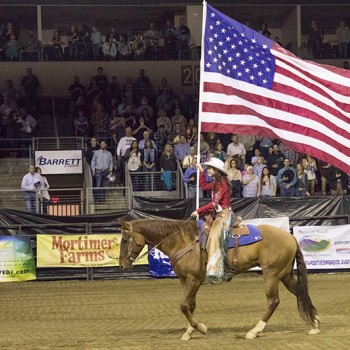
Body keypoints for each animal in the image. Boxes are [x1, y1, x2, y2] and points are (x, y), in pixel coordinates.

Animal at [118, 220, 320, 340]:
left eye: (125, 240)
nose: (121, 264)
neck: (183, 241)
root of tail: (290, 236)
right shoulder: (185, 279)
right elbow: (190, 305)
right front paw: (189, 332)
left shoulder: (194, 279)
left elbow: (183, 305)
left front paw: (201, 328)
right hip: (284, 274)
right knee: (300, 292)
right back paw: (315, 324)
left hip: (271, 274)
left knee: (273, 301)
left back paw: (254, 331)